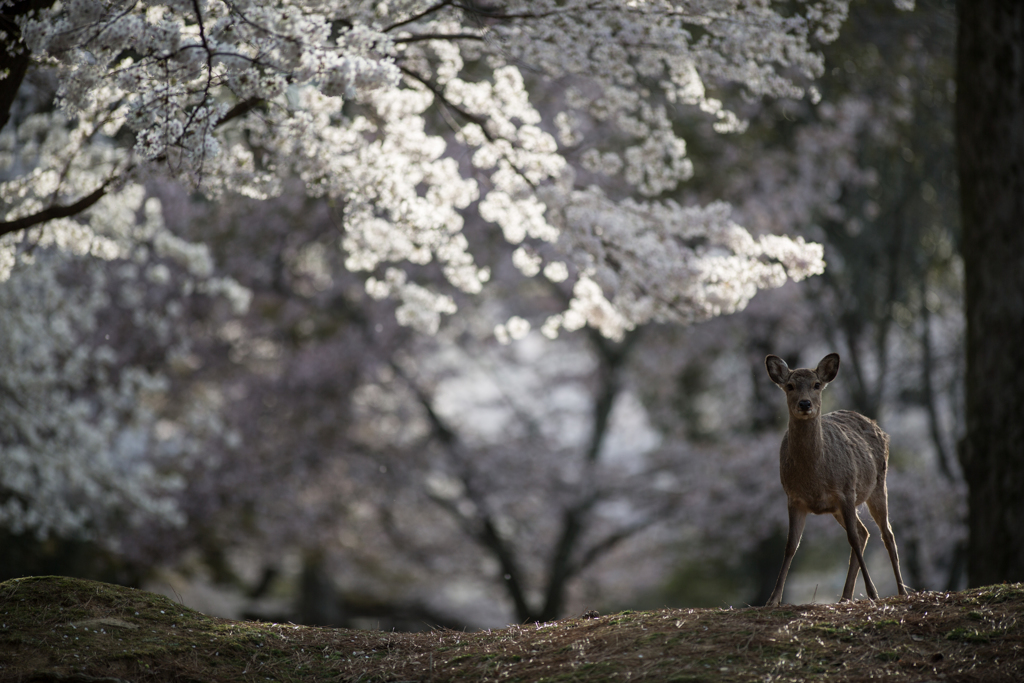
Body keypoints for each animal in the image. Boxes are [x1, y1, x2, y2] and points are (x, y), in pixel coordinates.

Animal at [765, 356, 909, 606]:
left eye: (816, 384)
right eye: (790, 386)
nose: (805, 404)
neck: (814, 477)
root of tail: (877, 426)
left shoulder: (846, 491)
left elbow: (852, 539)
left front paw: (873, 593)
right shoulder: (793, 498)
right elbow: (791, 545)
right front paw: (773, 600)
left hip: (878, 484)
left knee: (886, 533)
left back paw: (902, 591)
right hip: (837, 508)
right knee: (864, 532)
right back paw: (845, 597)